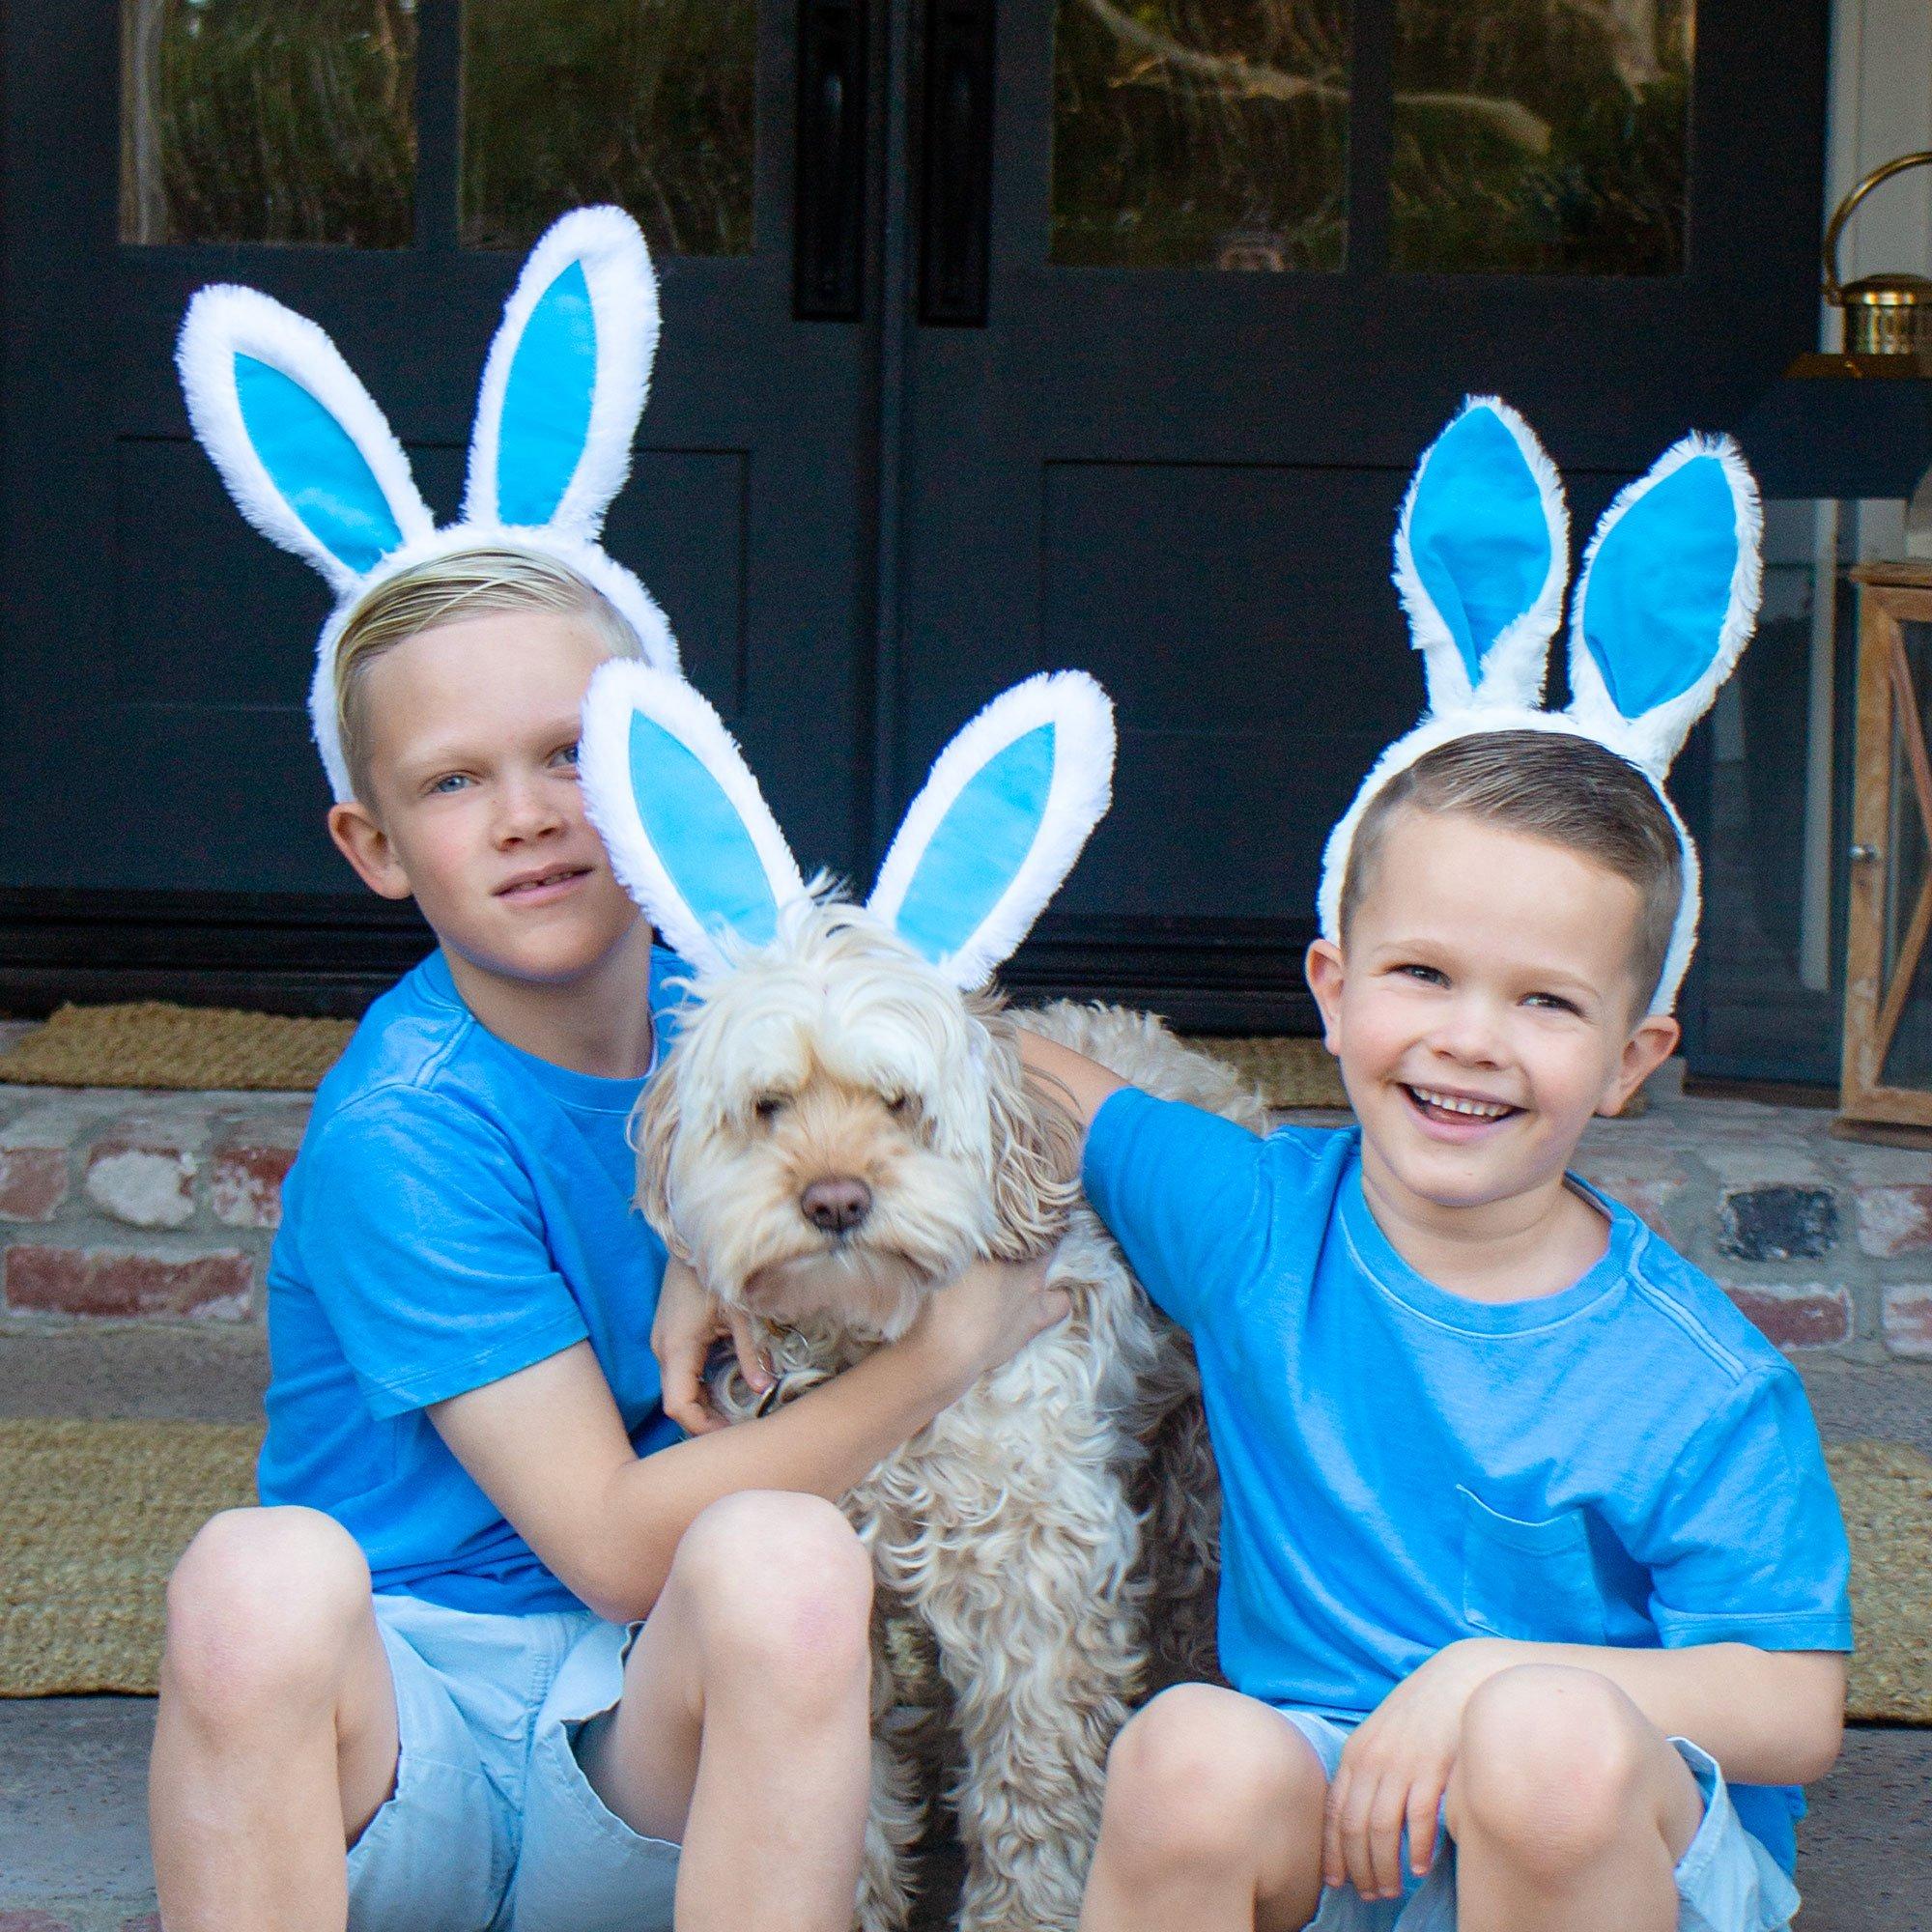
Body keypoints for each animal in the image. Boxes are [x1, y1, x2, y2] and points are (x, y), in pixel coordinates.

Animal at [638, 912, 1267, 1932]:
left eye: (901, 1104)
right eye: (769, 1106)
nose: (835, 1200)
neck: (873, 1360)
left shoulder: (1034, 1582)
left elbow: (1030, 1790)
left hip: (1192, 1494)